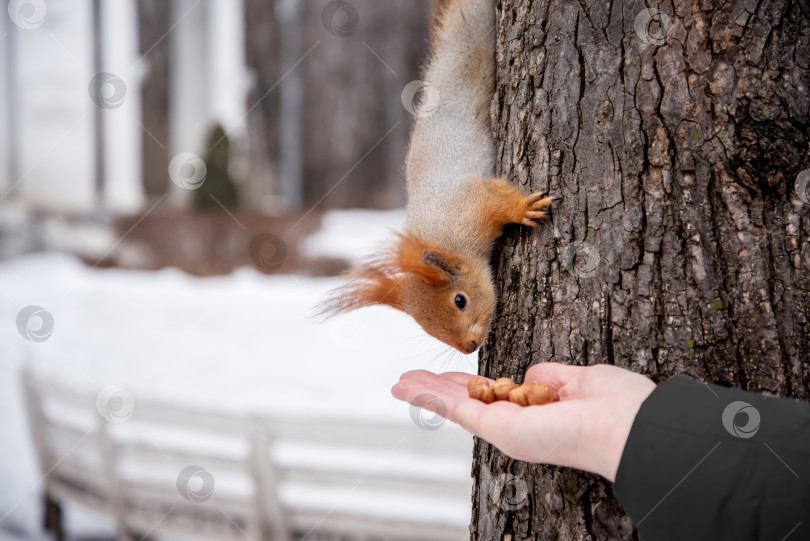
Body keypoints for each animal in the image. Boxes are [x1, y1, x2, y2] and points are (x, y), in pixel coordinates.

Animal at [322, 0, 556, 354]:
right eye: (425, 327)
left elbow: (496, 199)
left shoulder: (471, 203)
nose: (469, 347)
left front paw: (523, 209)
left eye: (460, 300)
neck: (444, 237)